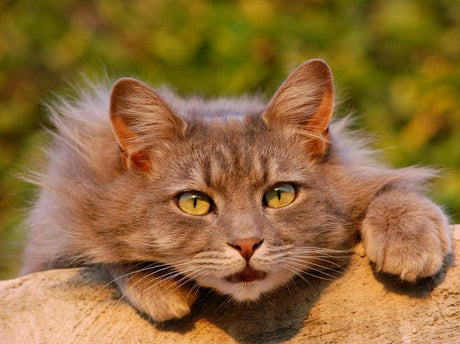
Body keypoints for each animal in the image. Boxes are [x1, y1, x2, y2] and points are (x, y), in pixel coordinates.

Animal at [22, 59, 452, 322]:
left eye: (280, 195)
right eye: (194, 203)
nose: (246, 245)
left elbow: (394, 190)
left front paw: (409, 241)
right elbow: (103, 254)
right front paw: (158, 288)